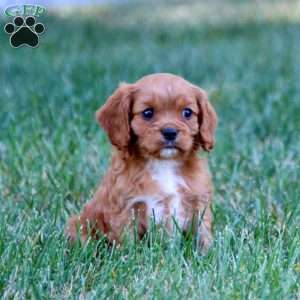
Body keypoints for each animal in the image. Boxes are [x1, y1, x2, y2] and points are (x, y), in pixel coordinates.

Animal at [67, 74, 218, 250]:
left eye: (187, 112)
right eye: (147, 113)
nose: (170, 132)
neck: (164, 163)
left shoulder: (198, 202)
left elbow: (203, 233)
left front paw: (208, 253)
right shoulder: (126, 208)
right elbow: (128, 241)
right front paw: (130, 255)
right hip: (78, 226)